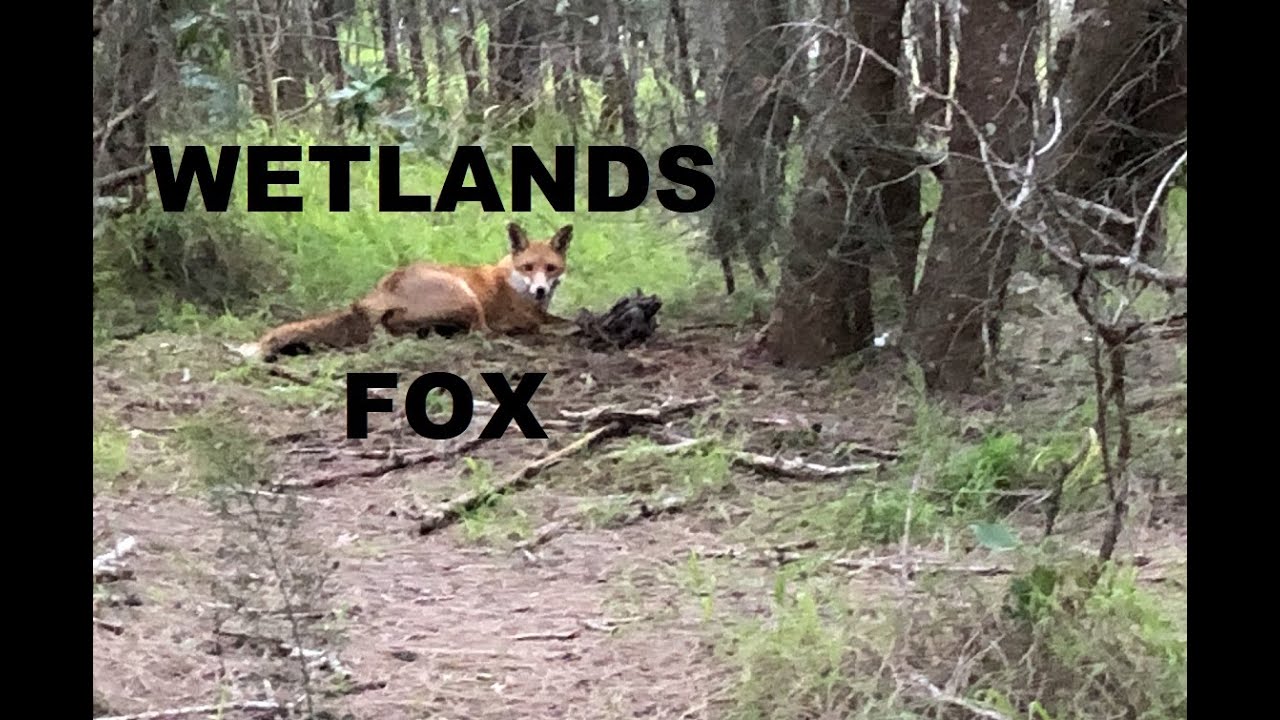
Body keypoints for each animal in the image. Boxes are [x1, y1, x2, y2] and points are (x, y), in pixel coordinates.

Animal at [240, 222, 574, 362]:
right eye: (528, 267)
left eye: (551, 268)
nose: (541, 290)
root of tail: (382, 288)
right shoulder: (526, 317)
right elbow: (560, 323)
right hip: (465, 295)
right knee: (481, 332)